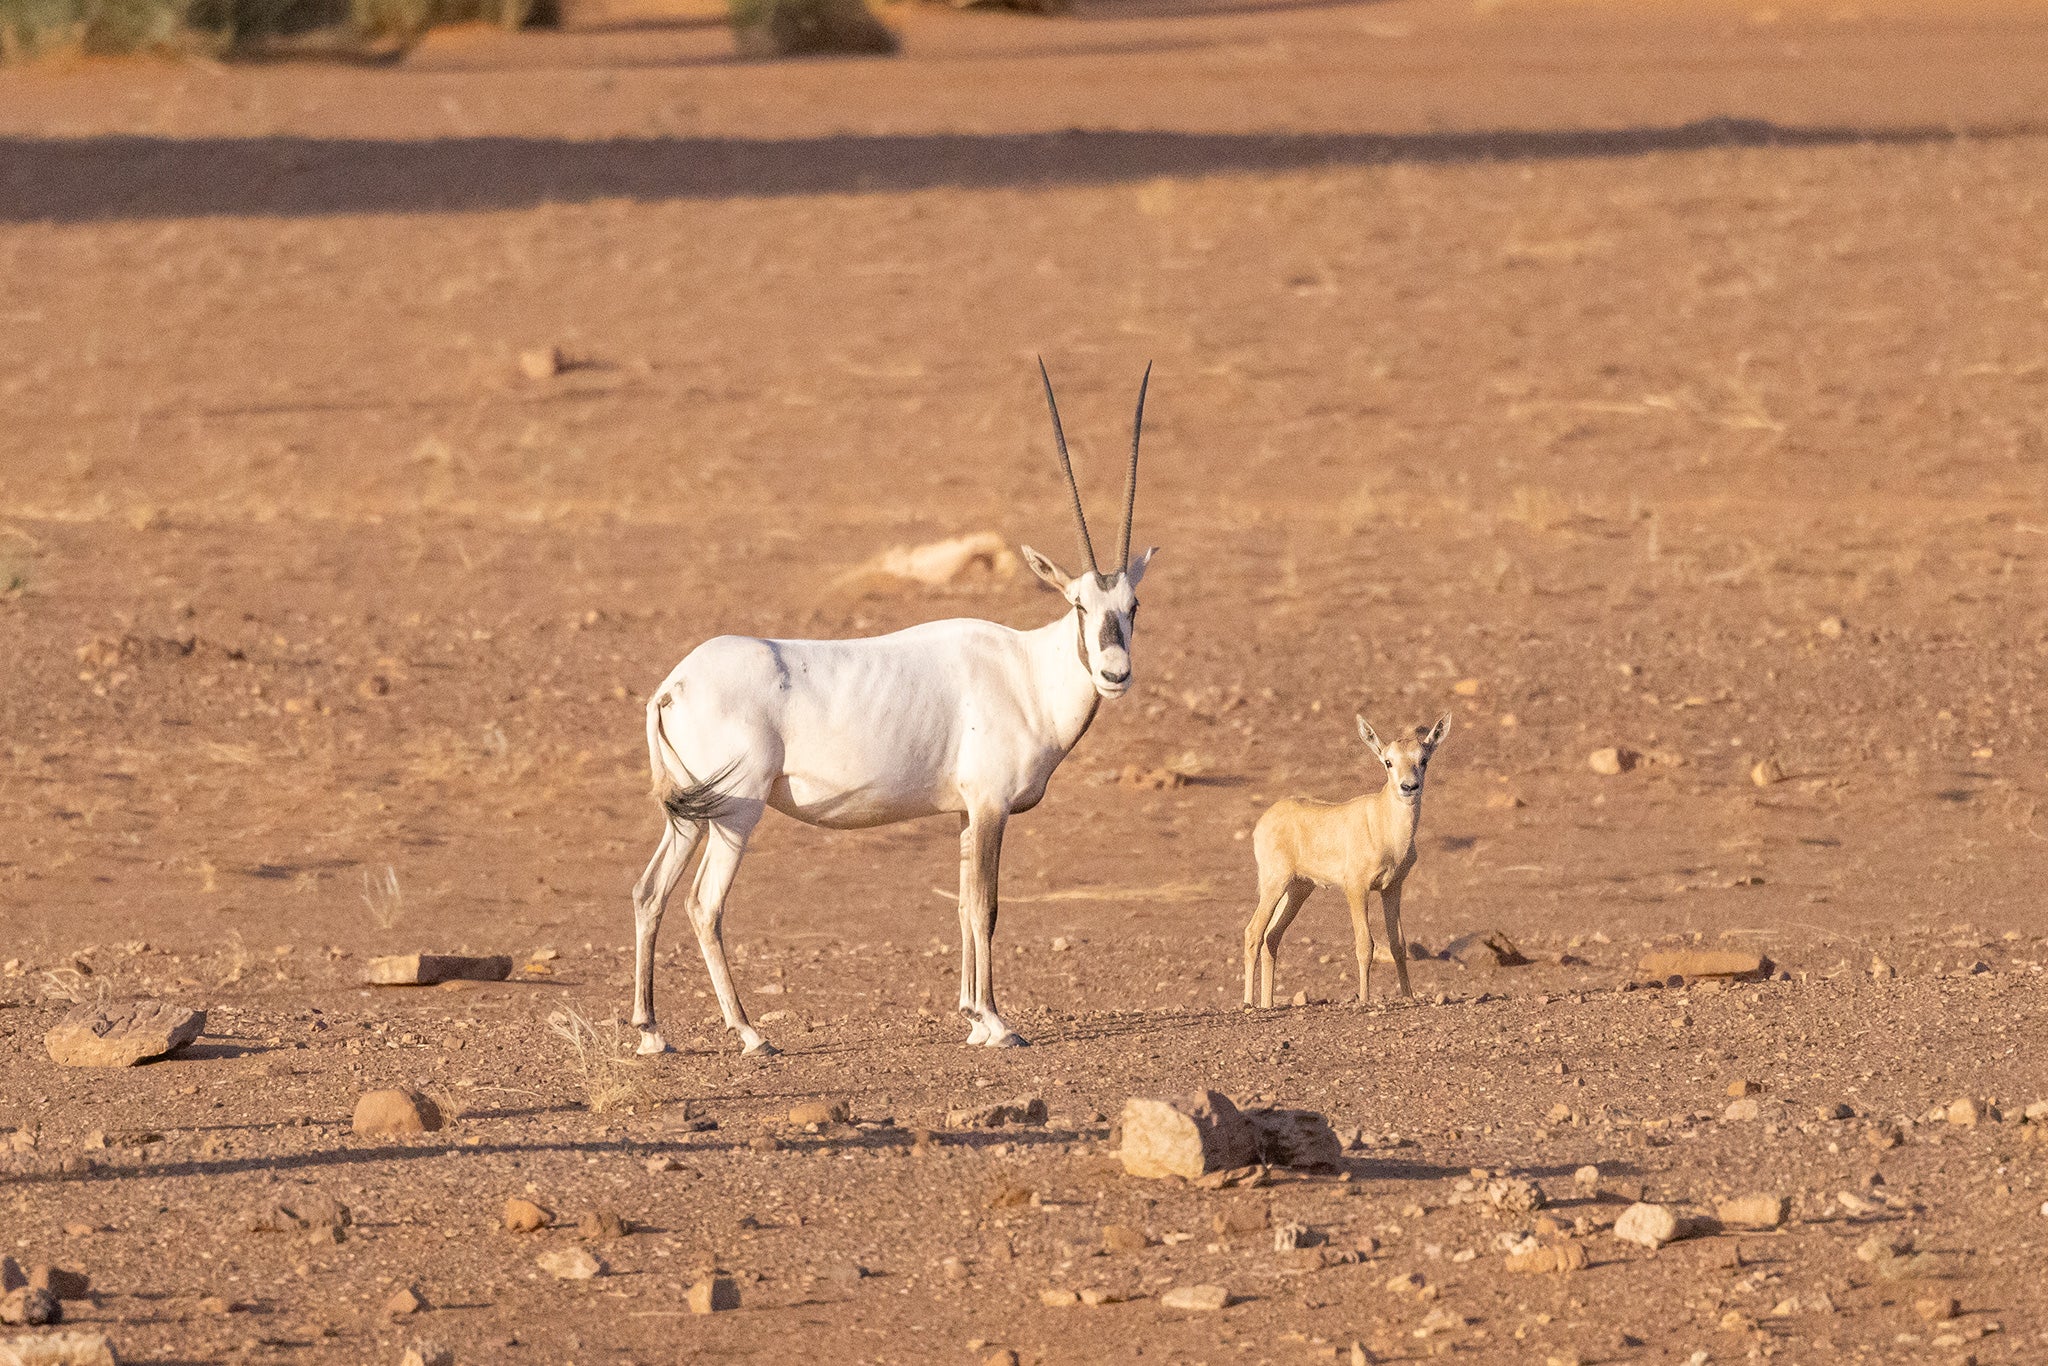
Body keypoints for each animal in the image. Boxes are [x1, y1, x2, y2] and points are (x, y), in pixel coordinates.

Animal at [630, 360, 1163, 1056]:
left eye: (1132, 606)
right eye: (1077, 603)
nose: (1114, 673)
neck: (1026, 670)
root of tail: (674, 684)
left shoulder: (967, 812)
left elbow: (962, 906)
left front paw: (971, 1017)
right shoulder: (990, 806)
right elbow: (987, 907)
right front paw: (998, 1023)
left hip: (691, 813)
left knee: (650, 892)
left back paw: (651, 1032)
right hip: (735, 811)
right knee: (704, 903)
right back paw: (750, 1034)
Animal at [1236, 720, 1449, 1011]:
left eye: (1423, 759)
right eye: (1388, 761)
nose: (1409, 787)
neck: (1382, 821)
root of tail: (1266, 819)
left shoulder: (1392, 888)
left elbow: (1398, 943)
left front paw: (1409, 996)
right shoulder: (1356, 889)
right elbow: (1365, 944)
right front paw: (1365, 999)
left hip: (1298, 890)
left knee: (1272, 936)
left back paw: (1267, 1003)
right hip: (1274, 885)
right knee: (1253, 933)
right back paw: (1248, 1003)